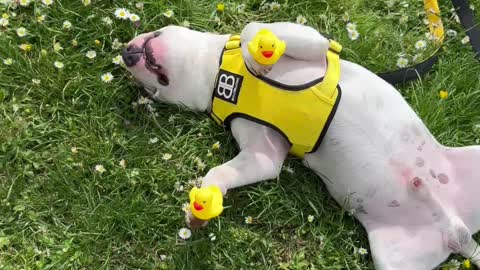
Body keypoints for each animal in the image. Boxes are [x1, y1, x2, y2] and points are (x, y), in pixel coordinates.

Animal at [122, 23, 480, 270]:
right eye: (151, 91)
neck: (217, 77)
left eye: (154, 29)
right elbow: (221, 173)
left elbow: (253, 30)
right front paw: (202, 205)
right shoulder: (263, 153)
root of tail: (457, 232)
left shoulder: (314, 40)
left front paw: (258, 58)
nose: (125, 53)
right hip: (391, 259)